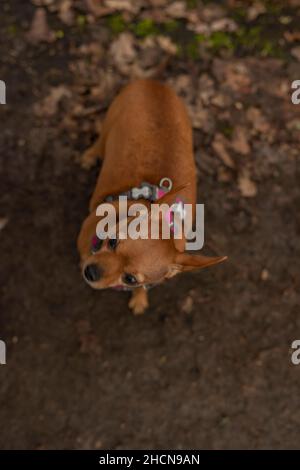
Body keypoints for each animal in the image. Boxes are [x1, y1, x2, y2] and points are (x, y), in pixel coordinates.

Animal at [76, 80, 226, 316]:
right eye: (112, 241)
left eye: (130, 278)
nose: (90, 272)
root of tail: (155, 82)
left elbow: (143, 288)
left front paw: (139, 297)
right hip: (110, 123)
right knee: (99, 142)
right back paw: (89, 156)